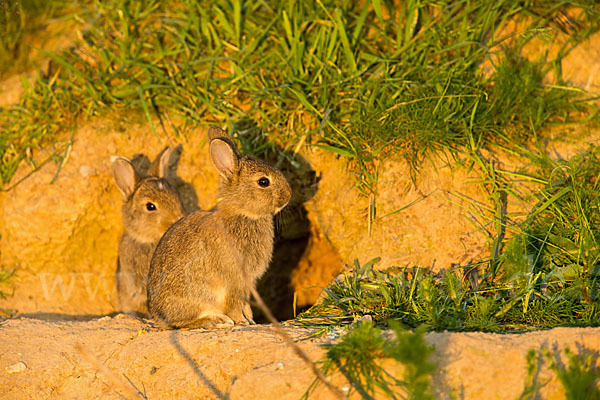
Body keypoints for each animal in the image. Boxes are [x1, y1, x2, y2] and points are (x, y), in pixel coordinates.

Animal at [148, 126, 292, 330]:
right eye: (264, 182)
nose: (288, 195)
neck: (243, 213)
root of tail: (157, 316)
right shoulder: (235, 279)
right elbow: (235, 303)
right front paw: (241, 322)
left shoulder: (247, 284)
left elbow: (245, 304)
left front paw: (250, 320)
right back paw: (216, 320)